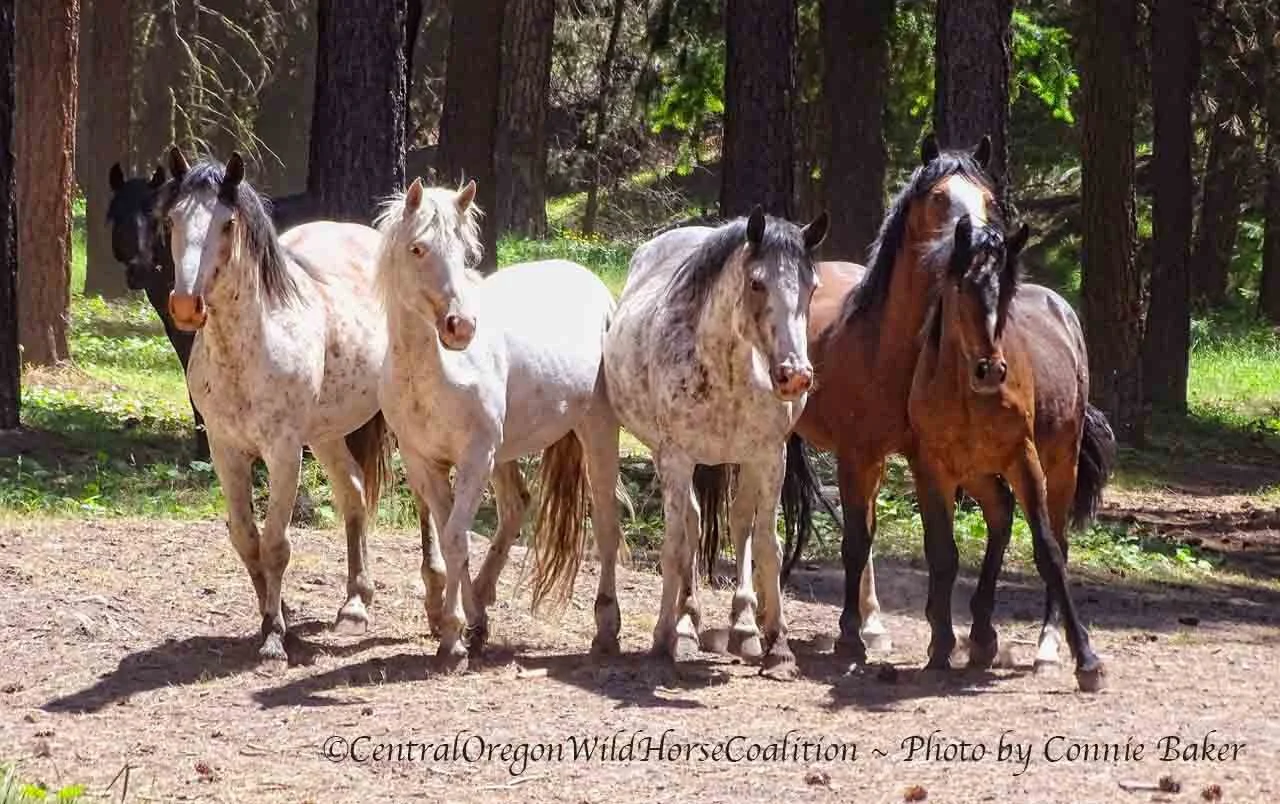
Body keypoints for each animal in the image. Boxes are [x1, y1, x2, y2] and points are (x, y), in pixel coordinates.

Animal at [160, 148, 401, 662]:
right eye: (171, 219)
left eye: (227, 223)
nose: (187, 306)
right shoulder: (226, 452)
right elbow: (247, 539)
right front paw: (273, 616)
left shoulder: (284, 454)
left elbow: (275, 543)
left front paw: (273, 637)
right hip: (326, 434)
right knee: (353, 494)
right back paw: (354, 604)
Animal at [373, 177, 625, 672]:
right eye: (417, 248)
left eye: (466, 252)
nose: (461, 327)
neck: (433, 373)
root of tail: (596, 287)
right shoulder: (424, 463)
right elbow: (452, 538)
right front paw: (467, 627)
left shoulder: (475, 458)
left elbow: (456, 538)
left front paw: (452, 639)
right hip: (505, 453)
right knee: (515, 508)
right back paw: (483, 603)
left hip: (597, 432)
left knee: (606, 519)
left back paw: (606, 628)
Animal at [604, 206, 828, 680]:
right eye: (757, 282)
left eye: (812, 286)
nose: (795, 375)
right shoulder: (675, 457)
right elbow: (674, 547)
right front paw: (665, 638)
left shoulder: (771, 456)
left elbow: (766, 546)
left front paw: (779, 647)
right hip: (666, 458)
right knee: (689, 524)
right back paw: (686, 625)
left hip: (744, 461)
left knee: (739, 523)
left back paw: (742, 626)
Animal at [907, 214, 1112, 691]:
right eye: (963, 285)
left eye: (1006, 292)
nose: (991, 370)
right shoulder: (934, 470)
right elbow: (942, 555)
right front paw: (940, 647)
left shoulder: (1024, 460)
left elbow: (1048, 553)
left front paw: (1087, 661)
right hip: (978, 472)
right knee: (1000, 514)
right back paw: (981, 635)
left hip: (1060, 466)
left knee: (1057, 541)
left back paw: (1047, 646)